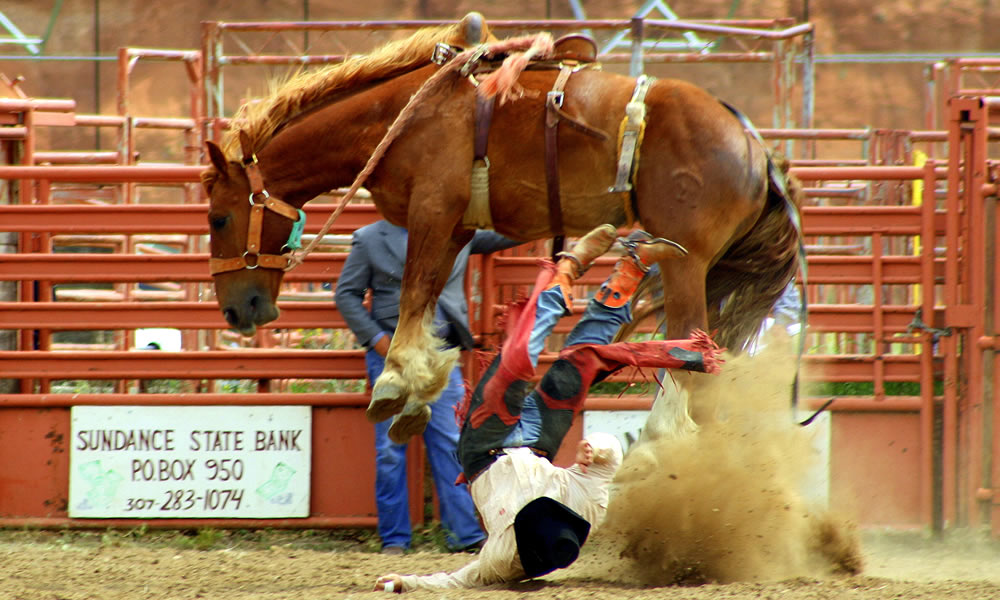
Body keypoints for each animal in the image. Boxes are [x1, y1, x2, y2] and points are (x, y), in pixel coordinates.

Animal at [203, 17, 804, 440]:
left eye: (218, 216)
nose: (236, 311)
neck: (400, 114)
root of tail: (756, 148)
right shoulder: (454, 228)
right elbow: (426, 299)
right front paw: (420, 388)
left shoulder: (431, 210)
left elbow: (413, 292)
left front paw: (394, 383)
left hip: (686, 264)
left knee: (694, 362)